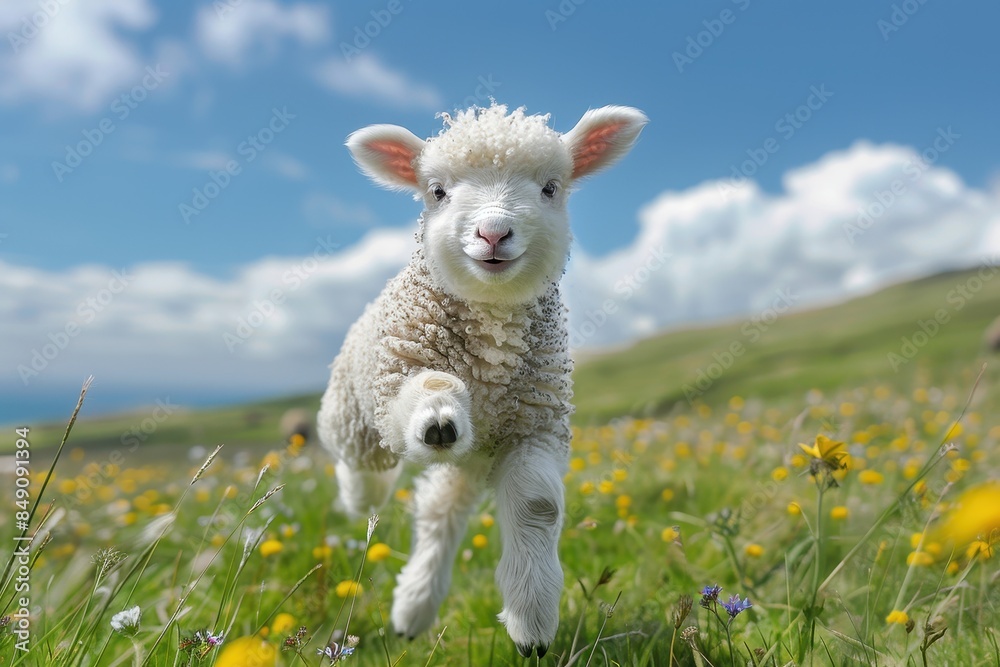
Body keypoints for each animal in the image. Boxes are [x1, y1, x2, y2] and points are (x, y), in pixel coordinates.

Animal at [317, 103, 647, 657]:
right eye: (437, 192)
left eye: (551, 188)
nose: (493, 233)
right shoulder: (400, 374)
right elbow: (427, 391)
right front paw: (436, 415)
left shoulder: (535, 427)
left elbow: (537, 506)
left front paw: (531, 624)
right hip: (355, 408)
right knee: (362, 467)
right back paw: (365, 495)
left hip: (470, 462)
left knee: (439, 511)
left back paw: (414, 606)